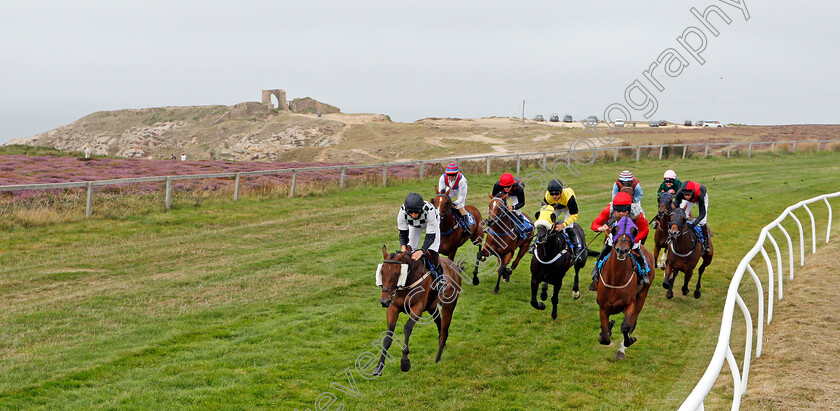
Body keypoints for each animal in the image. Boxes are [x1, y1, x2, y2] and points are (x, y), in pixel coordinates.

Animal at [378, 246, 462, 374]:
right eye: (382, 272)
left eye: (397, 274)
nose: (384, 301)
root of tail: (454, 265)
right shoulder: (393, 308)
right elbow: (388, 335)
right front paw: (379, 366)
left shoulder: (418, 307)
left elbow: (407, 328)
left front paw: (405, 363)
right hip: (432, 306)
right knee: (439, 322)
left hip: (449, 305)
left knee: (444, 329)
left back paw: (438, 357)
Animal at [592, 217, 652, 358]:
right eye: (615, 229)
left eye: (633, 231)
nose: (622, 250)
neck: (616, 280)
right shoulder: (603, 306)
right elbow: (605, 336)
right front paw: (606, 330)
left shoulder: (630, 304)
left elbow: (626, 326)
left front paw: (629, 340)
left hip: (643, 294)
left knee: (633, 322)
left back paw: (622, 348)